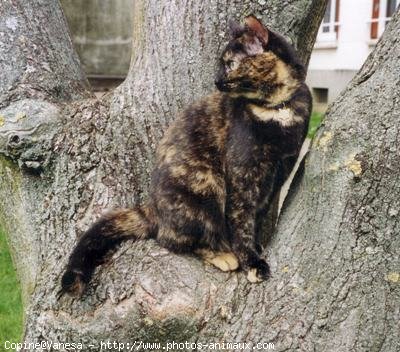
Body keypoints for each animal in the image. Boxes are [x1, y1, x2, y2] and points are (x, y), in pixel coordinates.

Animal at [59, 15, 310, 296]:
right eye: (222, 64)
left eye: (230, 64)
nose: (216, 80)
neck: (277, 108)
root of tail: (153, 209)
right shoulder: (242, 173)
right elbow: (241, 219)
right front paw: (251, 261)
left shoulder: (280, 170)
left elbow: (257, 216)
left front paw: (255, 247)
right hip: (207, 184)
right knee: (173, 239)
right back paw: (222, 255)